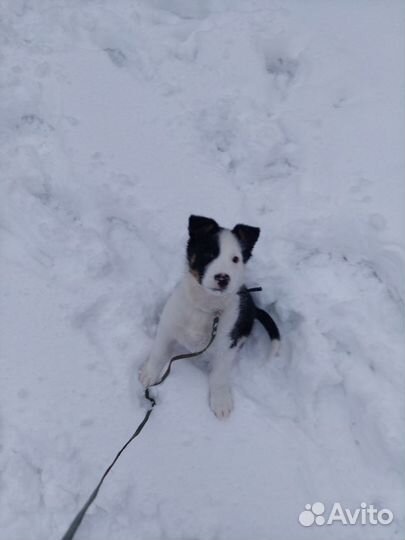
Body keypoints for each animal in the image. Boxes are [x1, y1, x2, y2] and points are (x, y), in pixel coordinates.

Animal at [138, 214, 278, 418]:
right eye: (209, 253)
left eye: (235, 259)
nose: (223, 278)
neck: (205, 306)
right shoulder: (168, 326)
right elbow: (158, 351)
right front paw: (149, 373)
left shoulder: (226, 344)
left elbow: (219, 375)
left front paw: (221, 401)